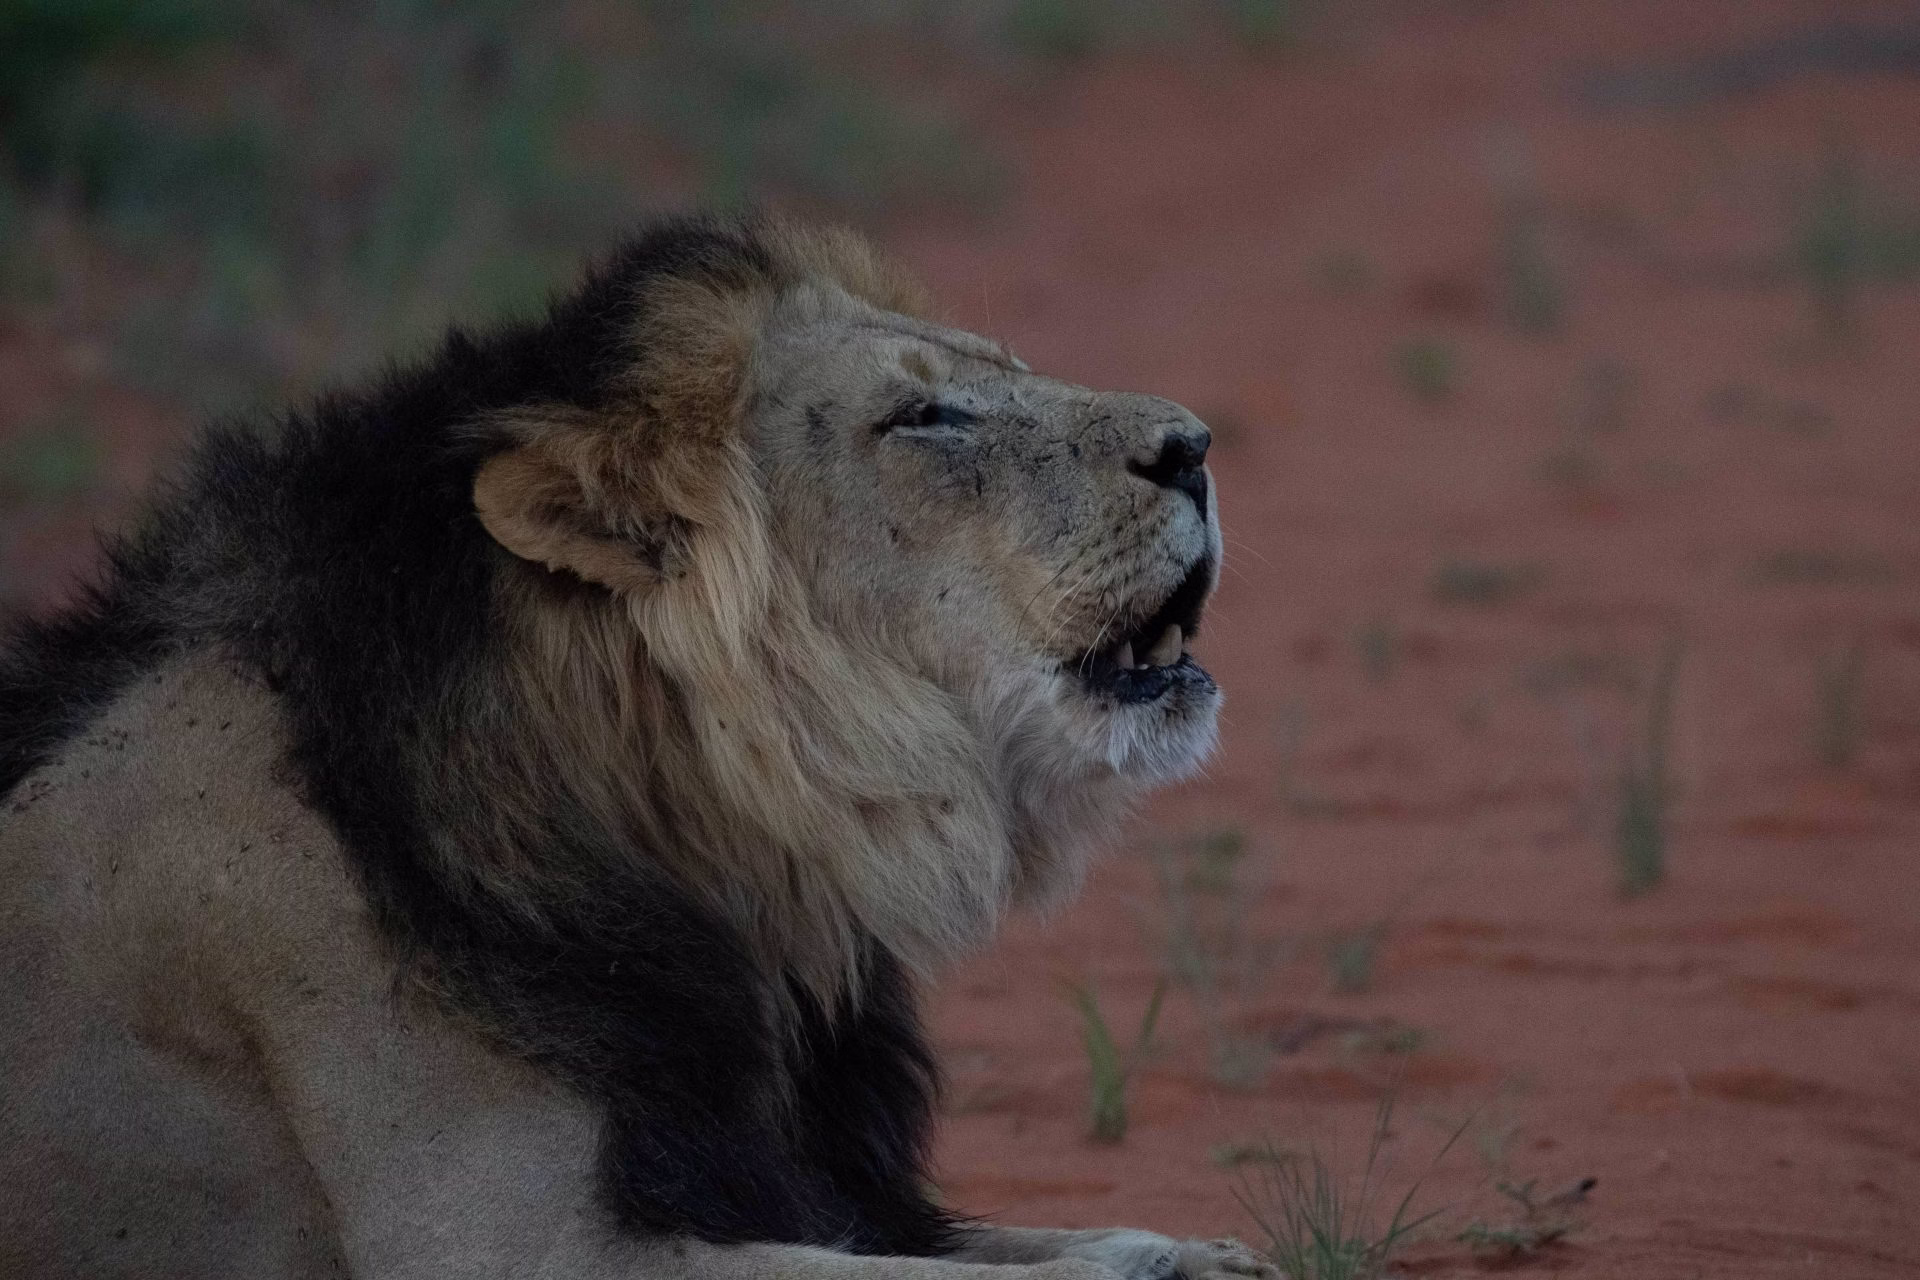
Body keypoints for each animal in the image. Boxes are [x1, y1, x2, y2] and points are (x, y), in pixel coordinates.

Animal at [0, 214, 1260, 1280]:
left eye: (1004, 366)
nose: (1195, 445)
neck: (737, 871)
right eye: (928, 418)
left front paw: (1197, 1249)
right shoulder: (509, 1243)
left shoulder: (807, 1179)